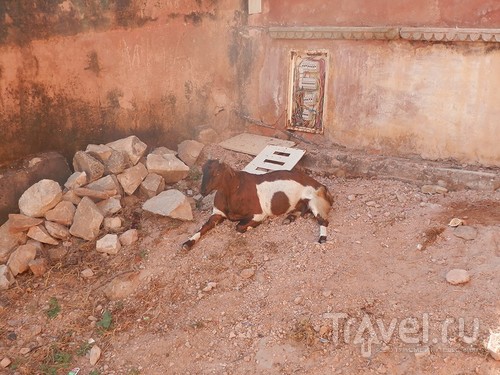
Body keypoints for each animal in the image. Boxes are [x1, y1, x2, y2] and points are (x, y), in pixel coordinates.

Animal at [182, 160, 334, 251]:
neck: (234, 191)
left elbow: (239, 227)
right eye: (203, 171)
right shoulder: (217, 213)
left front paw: (252, 225)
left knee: (323, 220)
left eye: (217, 172)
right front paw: (187, 243)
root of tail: (322, 187)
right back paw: (289, 218)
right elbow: (203, 227)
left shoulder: (258, 213)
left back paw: (321, 239)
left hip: (316, 201)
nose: (203, 191)